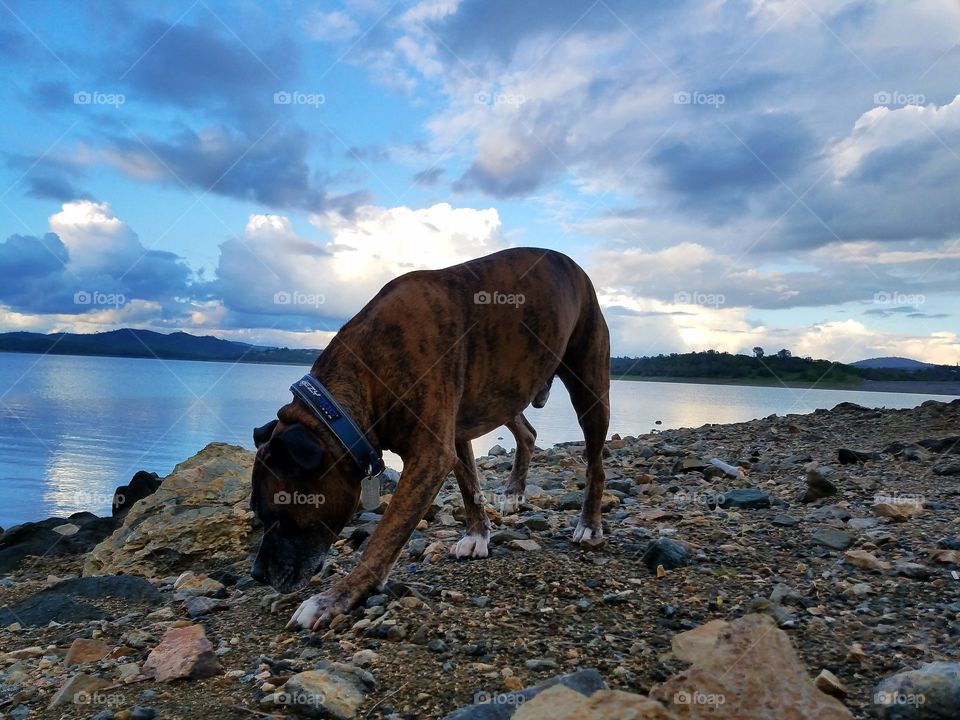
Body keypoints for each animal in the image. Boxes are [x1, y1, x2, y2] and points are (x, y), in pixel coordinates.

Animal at [248, 248, 608, 632]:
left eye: (278, 514)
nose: (256, 574)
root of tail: (572, 264)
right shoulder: (455, 434)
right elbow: (469, 486)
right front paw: (477, 536)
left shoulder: (430, 454)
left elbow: (384, 536)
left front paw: (333, 599)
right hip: (501, 392)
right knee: (527, 432)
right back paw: (513, 494)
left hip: (589, 387)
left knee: (596, 464)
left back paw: (589, 525)